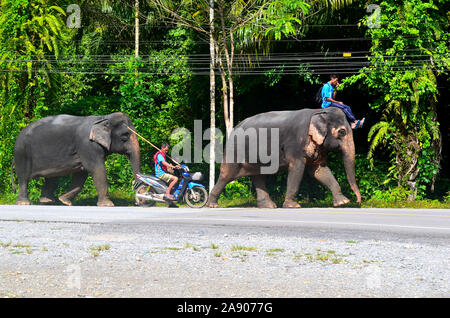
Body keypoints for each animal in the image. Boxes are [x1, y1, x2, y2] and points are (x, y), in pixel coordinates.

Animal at [11, 112, 141, 206]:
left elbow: (82, 173)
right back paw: (24, 203)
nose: (137, 200)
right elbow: (96, 169)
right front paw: (107, 205)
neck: (103, 118)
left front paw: (64, 201)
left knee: (51, 177)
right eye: (125, 136)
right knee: (23, 178)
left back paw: (48, 201)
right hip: (22, 153)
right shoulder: (87, 145)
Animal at [207, 107, 362, 209]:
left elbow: (319, 171)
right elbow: (297, 169)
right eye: (342, 132)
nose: (358, 201)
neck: (318, 112)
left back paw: (269, 206)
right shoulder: (295, 145)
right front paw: (293, 206)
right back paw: (212, 205)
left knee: (258, 176)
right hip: (235, 150)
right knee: (227, 175)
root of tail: (235, 127)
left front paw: (343, 202)